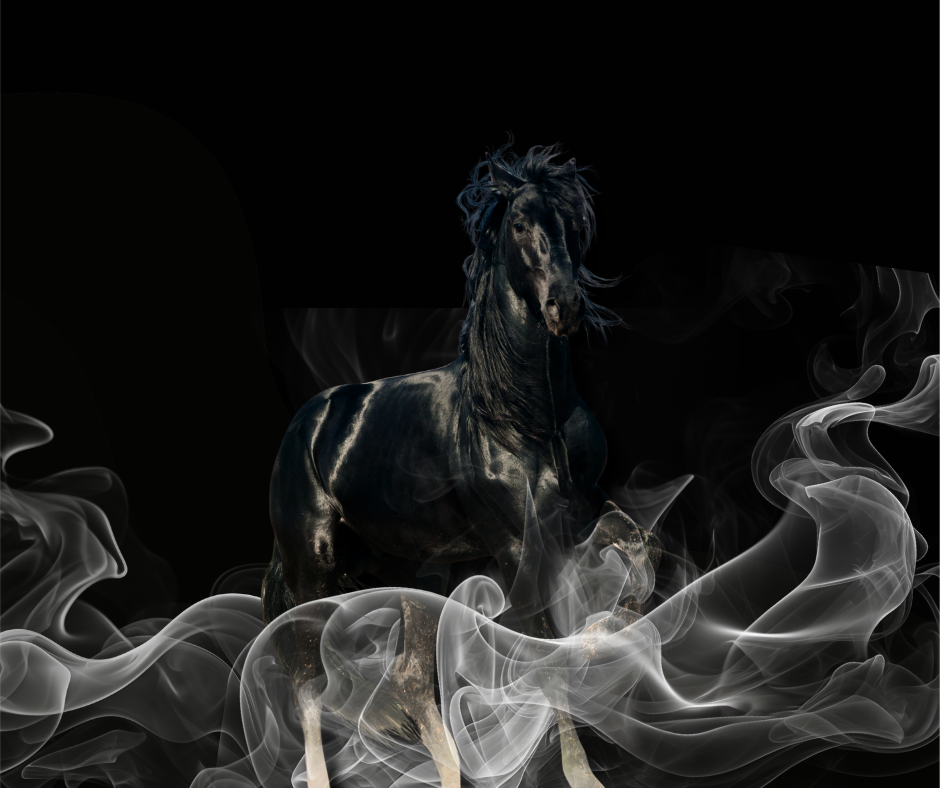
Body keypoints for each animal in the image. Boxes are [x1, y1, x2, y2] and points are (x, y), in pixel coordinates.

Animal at [261, 141, 663, 787]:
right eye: (520, 224)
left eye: (571, 224)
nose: (566, 305)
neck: (525, 418)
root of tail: (308, 424)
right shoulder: (518, 549)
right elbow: (545, 660)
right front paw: (582, 774)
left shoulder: (583, 509)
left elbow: (640, 548)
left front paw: (603, 632)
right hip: (310, 568)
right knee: (305, 679)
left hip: (416, 571)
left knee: (406, 678)